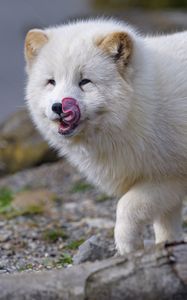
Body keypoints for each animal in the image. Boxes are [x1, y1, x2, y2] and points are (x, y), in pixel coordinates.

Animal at [24, 18, 187, 253]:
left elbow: (125, 206)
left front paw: (128, 247)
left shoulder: (170, 176)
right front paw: (165, 246)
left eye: (85, 81)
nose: (58, 107)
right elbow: (166, 225)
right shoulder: (164, 182)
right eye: (51, 82)